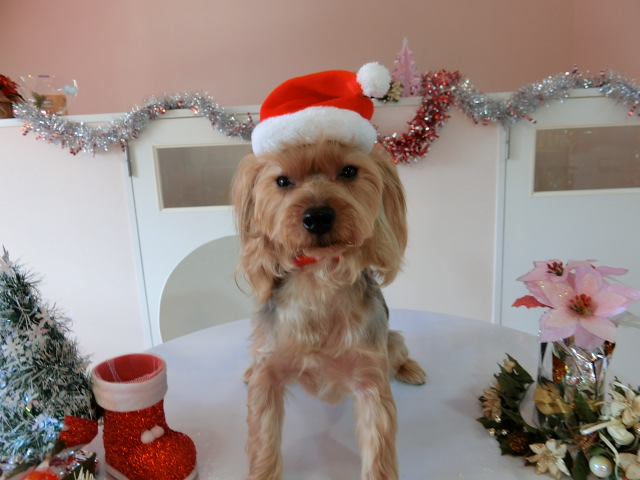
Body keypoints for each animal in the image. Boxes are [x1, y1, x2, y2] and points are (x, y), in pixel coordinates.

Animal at [231, 136, 426, 480]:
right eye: (282, 181)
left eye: (349, 171)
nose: (318, 216)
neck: (319, 281)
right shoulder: (267, 376)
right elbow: (263, 441)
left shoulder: (370, 378)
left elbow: (379, 448)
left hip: (390, 339)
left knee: (398, 350)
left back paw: (410, 368)